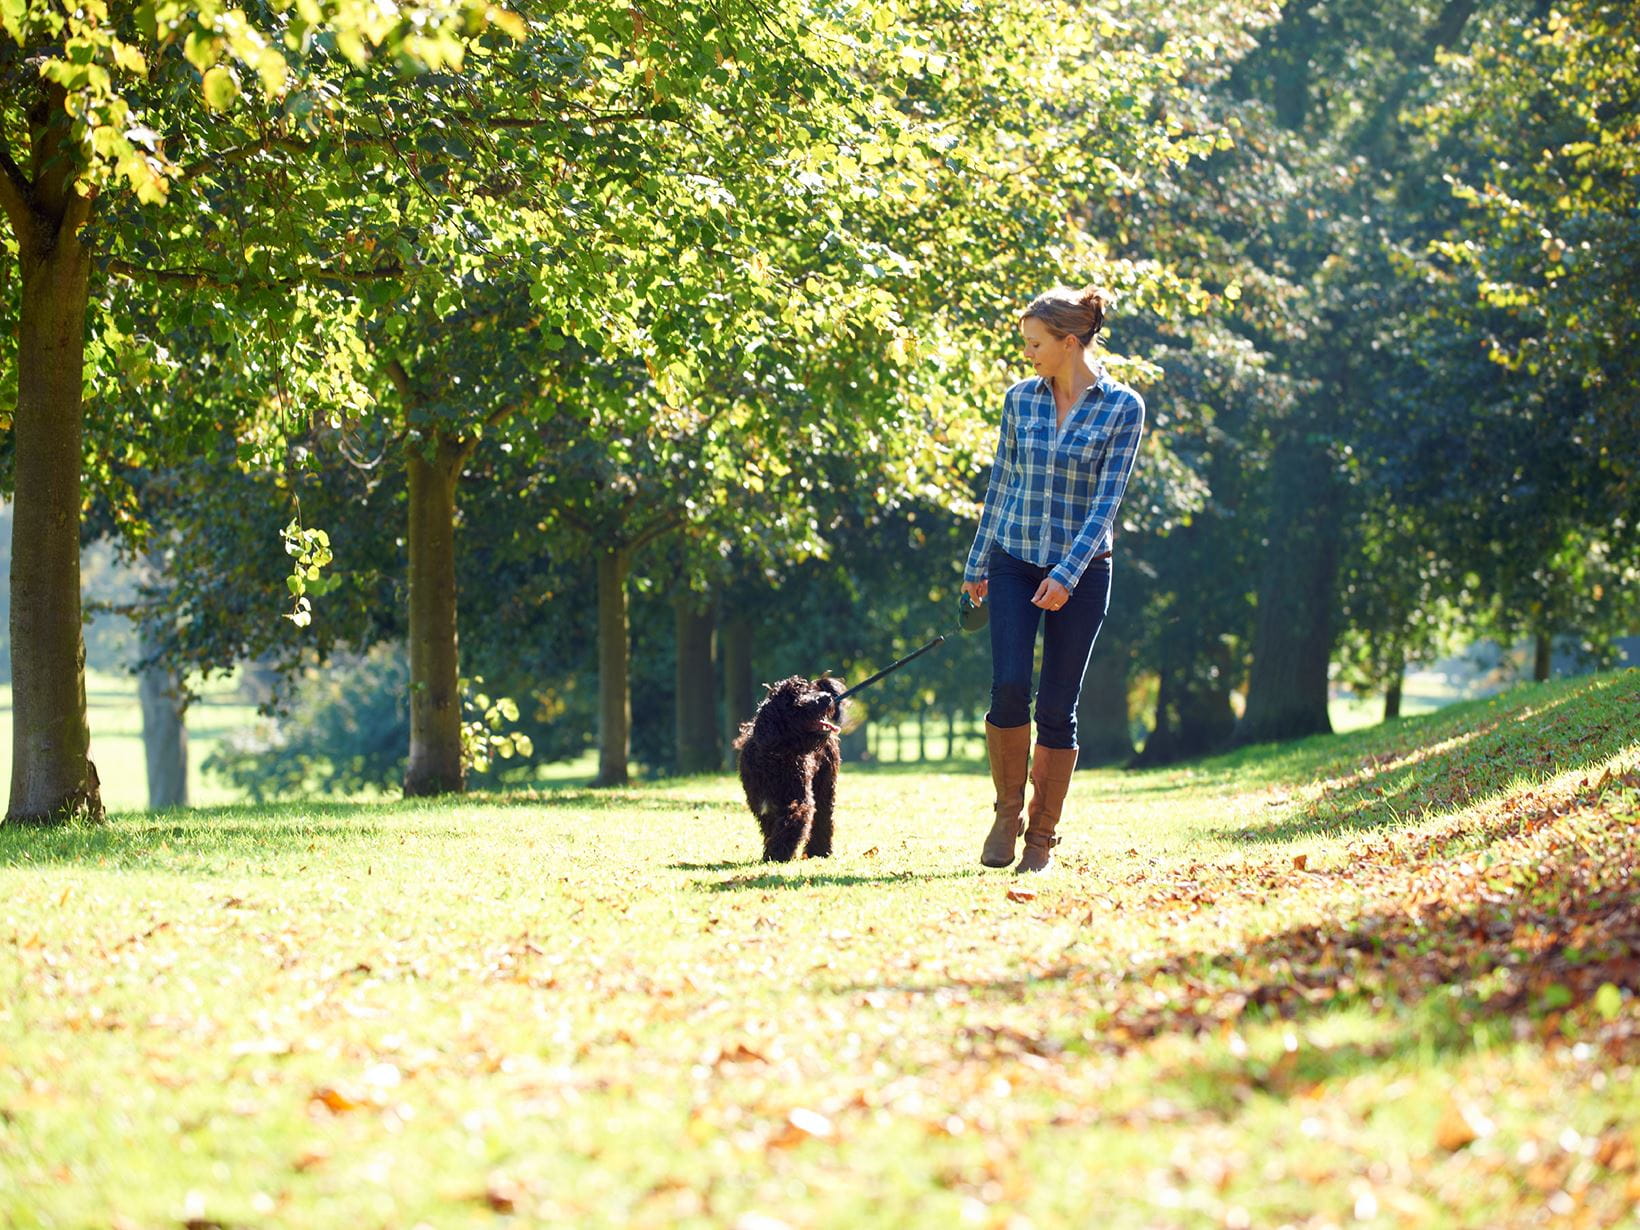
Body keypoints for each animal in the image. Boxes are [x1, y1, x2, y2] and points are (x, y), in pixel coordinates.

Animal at [738, 678, 852, 859]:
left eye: (809, 690)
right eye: (796, 698)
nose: (827, 697)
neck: (776, 757)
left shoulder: (798, 798)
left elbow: (793, 820)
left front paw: (777, 852)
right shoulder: (763, 804)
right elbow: (772, 828)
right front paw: (772, 850)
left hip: (825, 786)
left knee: (824, 817)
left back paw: (819, 851)